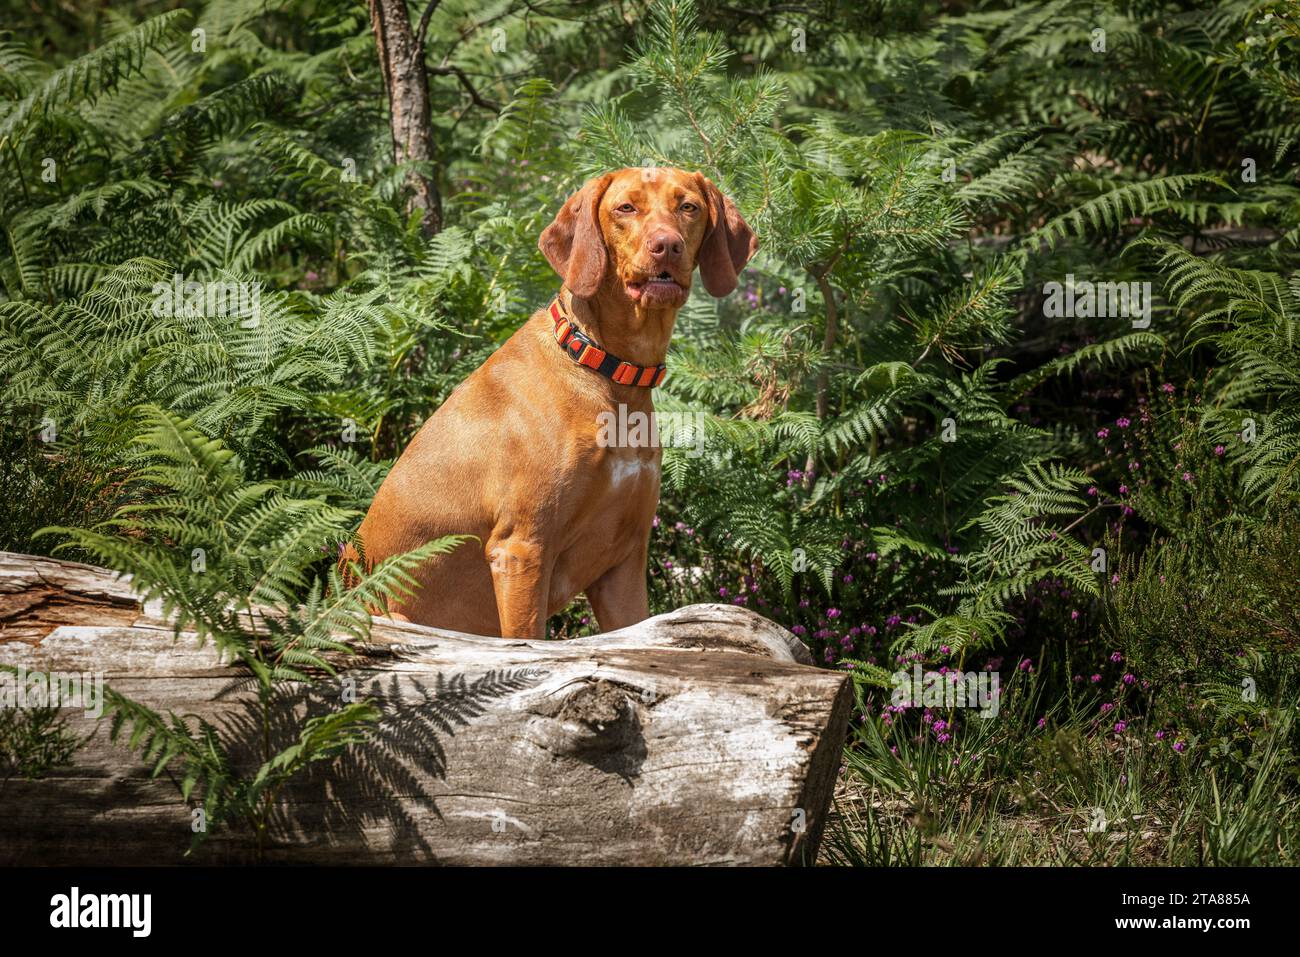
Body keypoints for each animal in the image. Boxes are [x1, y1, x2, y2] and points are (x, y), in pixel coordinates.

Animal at [345, 167, 759, 639]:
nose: (666, 245)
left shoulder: (623, 565)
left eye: (688, 206)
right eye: (626, 208)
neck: (608, 372)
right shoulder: (521, 549)